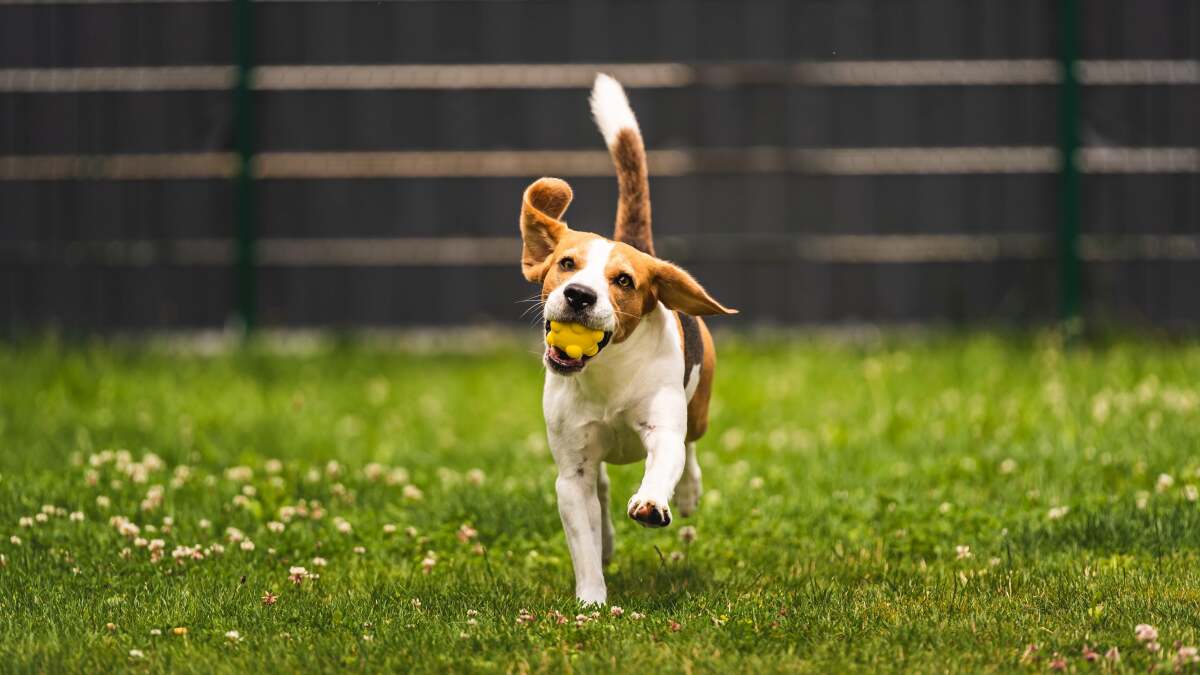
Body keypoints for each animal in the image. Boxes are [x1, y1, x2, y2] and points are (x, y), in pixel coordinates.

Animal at [520, 74, 734, 605]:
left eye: (623, 281)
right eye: (566, 263)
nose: (578, 295)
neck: (606, 374)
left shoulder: (662, 430)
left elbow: (664, 461)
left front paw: (654, 502)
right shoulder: (571, 472)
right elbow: (583, 534)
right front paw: (591, 600)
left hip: (698, 408)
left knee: (691, 447)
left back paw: (688, 492)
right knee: (600, 492)